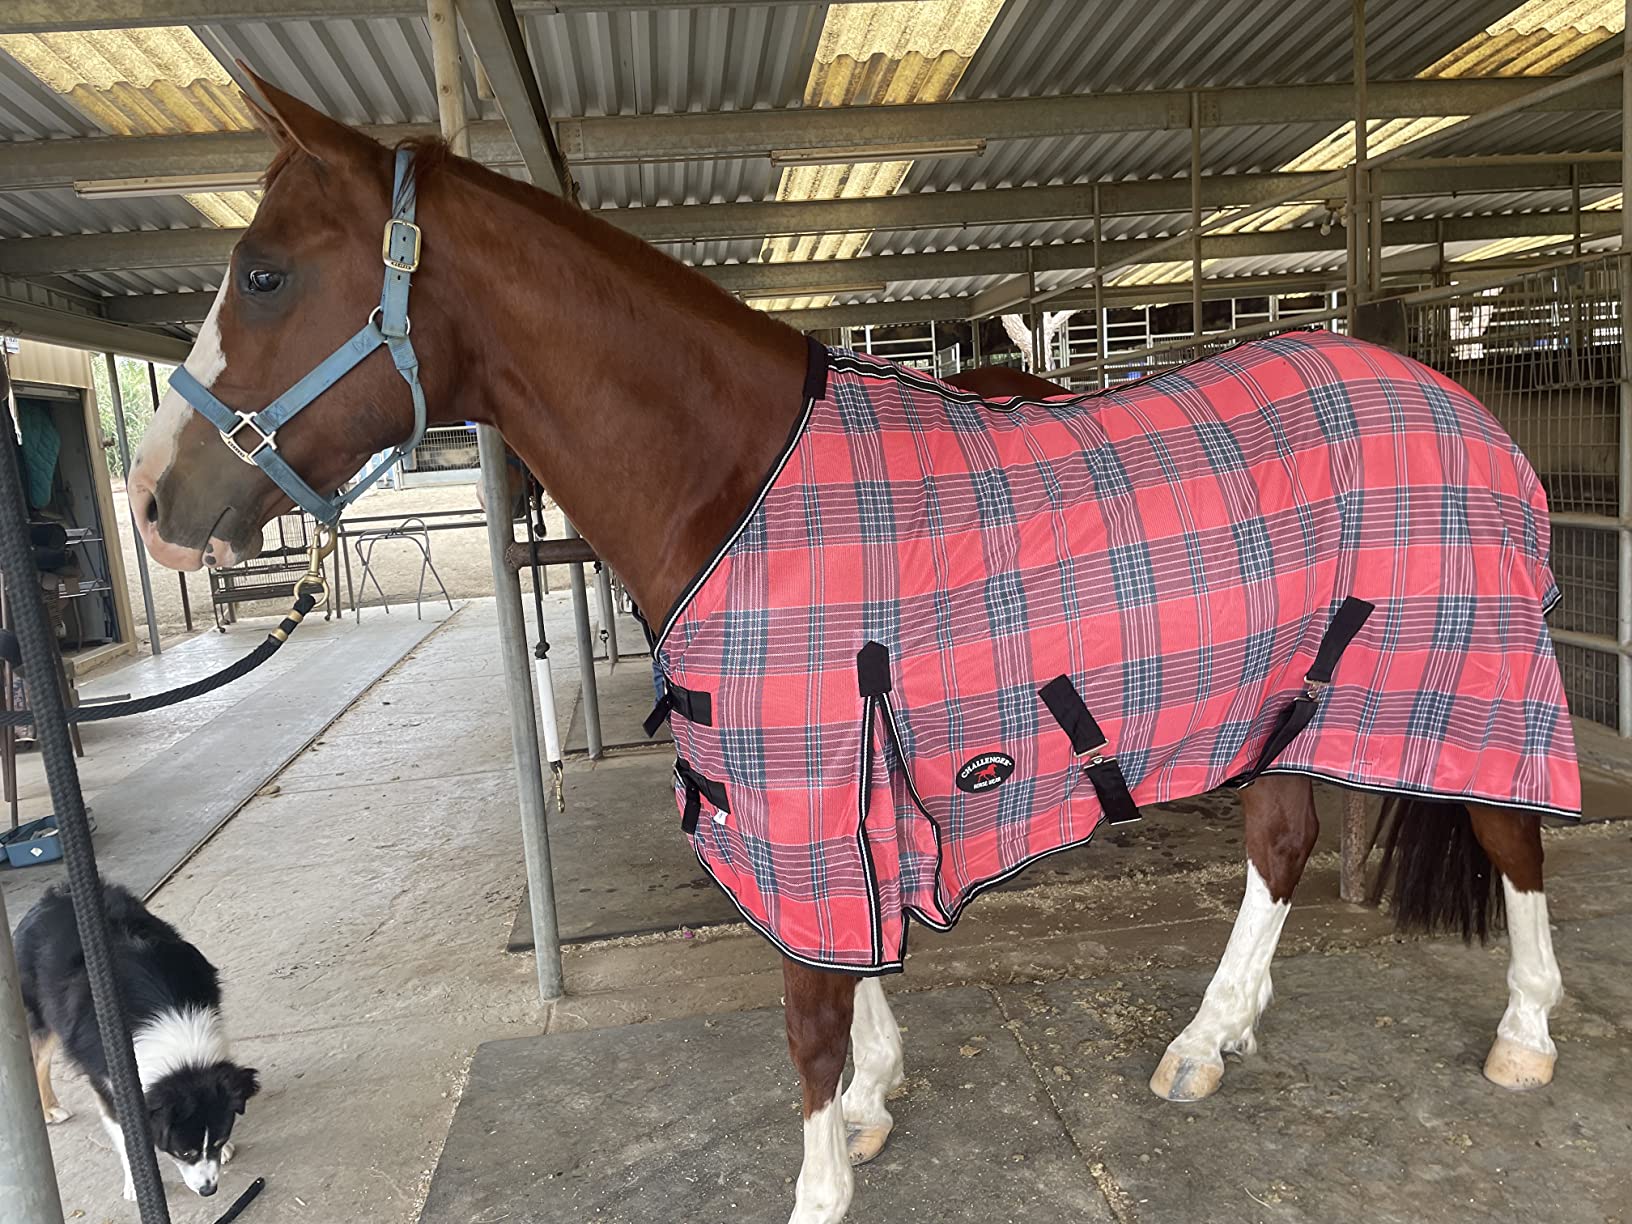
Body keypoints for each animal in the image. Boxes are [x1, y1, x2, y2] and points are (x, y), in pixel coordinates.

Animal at [126, 71, 1576, 1224]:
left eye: (264, 274)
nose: (150, 503)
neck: (732, 481)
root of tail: (1458, 403)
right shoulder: (835, 786)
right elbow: (852, 963)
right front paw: (879, 1101)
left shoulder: (808, 779)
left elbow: (808, 1015)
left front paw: (821, 1184)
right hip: (1284, 700)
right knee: (1281, 845)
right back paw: (1205, 1044)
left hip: (1469, 677)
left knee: (1511, 834)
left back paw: (1524, 1036)